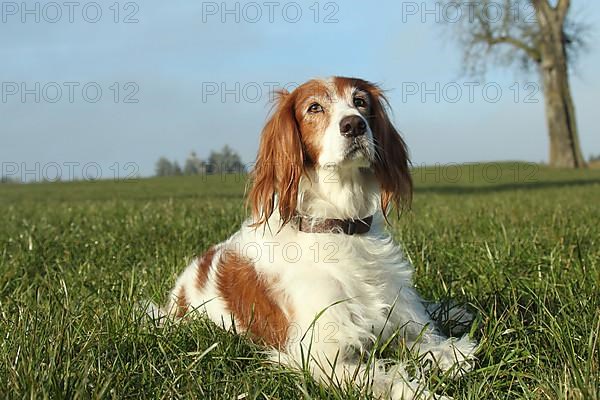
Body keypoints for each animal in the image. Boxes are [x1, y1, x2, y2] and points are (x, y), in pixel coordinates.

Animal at [149, 76, 478, 398]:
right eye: (314, 107)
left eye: (360, 101)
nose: (354, 124)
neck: (339, 225)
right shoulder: (319, 357)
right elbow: (388, 379)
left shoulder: (398, 318)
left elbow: (427, 340)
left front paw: (451, 352)